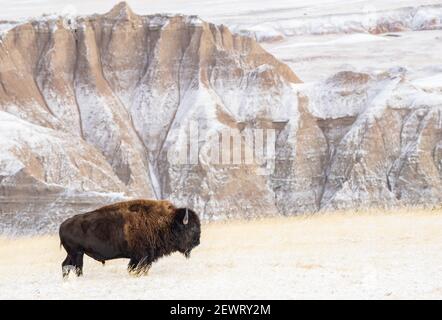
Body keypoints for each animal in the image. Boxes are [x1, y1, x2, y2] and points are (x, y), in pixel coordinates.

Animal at [59, 200, 201, 278]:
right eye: (192, 228)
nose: (197, 242)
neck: (167, 222)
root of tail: (62, 225)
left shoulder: (142, 258)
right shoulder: (142, 257)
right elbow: (135, 268)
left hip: (74, 253)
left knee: (66, 265)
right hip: (77, 253)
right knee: (77, 268)